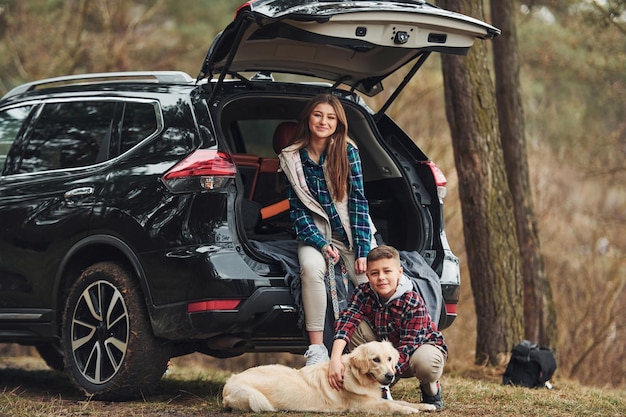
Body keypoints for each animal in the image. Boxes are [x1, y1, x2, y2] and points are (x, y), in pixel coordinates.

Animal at [223, 338, 434, 412]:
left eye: (389, 358)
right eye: (375, 360)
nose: (390, 376)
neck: (358, 378)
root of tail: (229, 383)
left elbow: (401, 401)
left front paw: (425, 406)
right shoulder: (363, 404)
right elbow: (390, 405)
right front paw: (409, 411)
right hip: (256, 398)